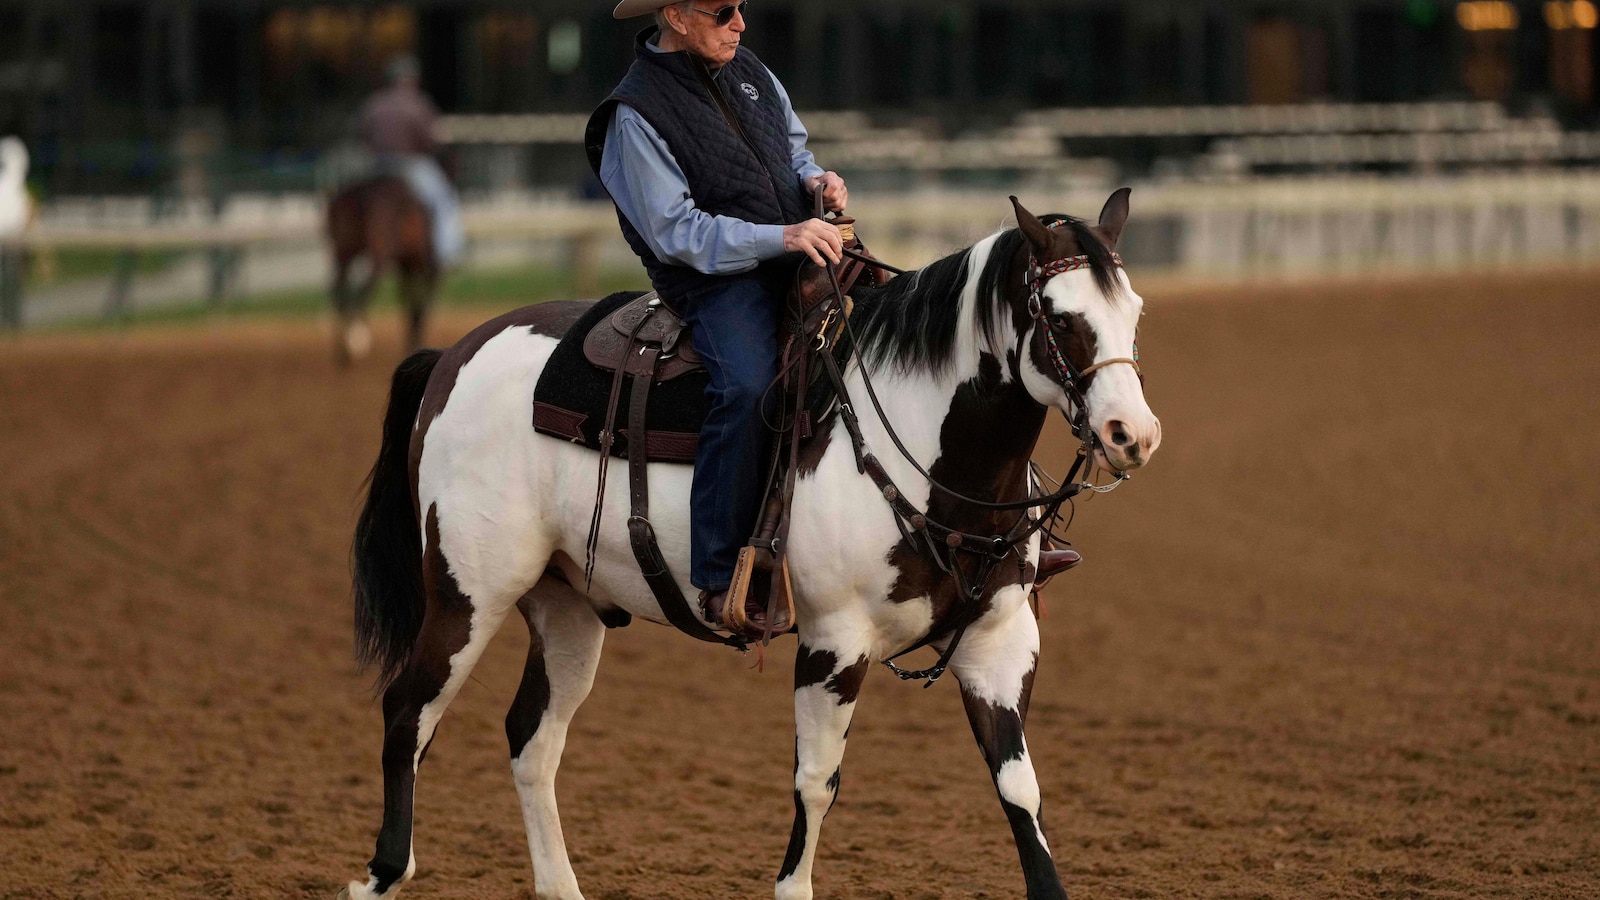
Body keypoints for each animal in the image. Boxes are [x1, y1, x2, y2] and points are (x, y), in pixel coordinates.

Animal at [325, 176, 439, 365]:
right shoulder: (417, 262)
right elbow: (415, 302)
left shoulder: (405, 265)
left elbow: (406, 300)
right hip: (378, 256)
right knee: (363, 292)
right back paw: (357, 340)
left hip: (343, 253)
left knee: (339, 292)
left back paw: (343, 352)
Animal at [339, 190, 1161, 900]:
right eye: (1057, 316)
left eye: (1134, 311)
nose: (1133, 435)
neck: (924, 451)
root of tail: (455, 352)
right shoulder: (834, 643)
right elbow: (817, 781)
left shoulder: (1001, 642)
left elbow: (1019, 787)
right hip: (467, 592)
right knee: (409, 712)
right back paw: (380, 875)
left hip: (565, 605)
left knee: (532, 737)